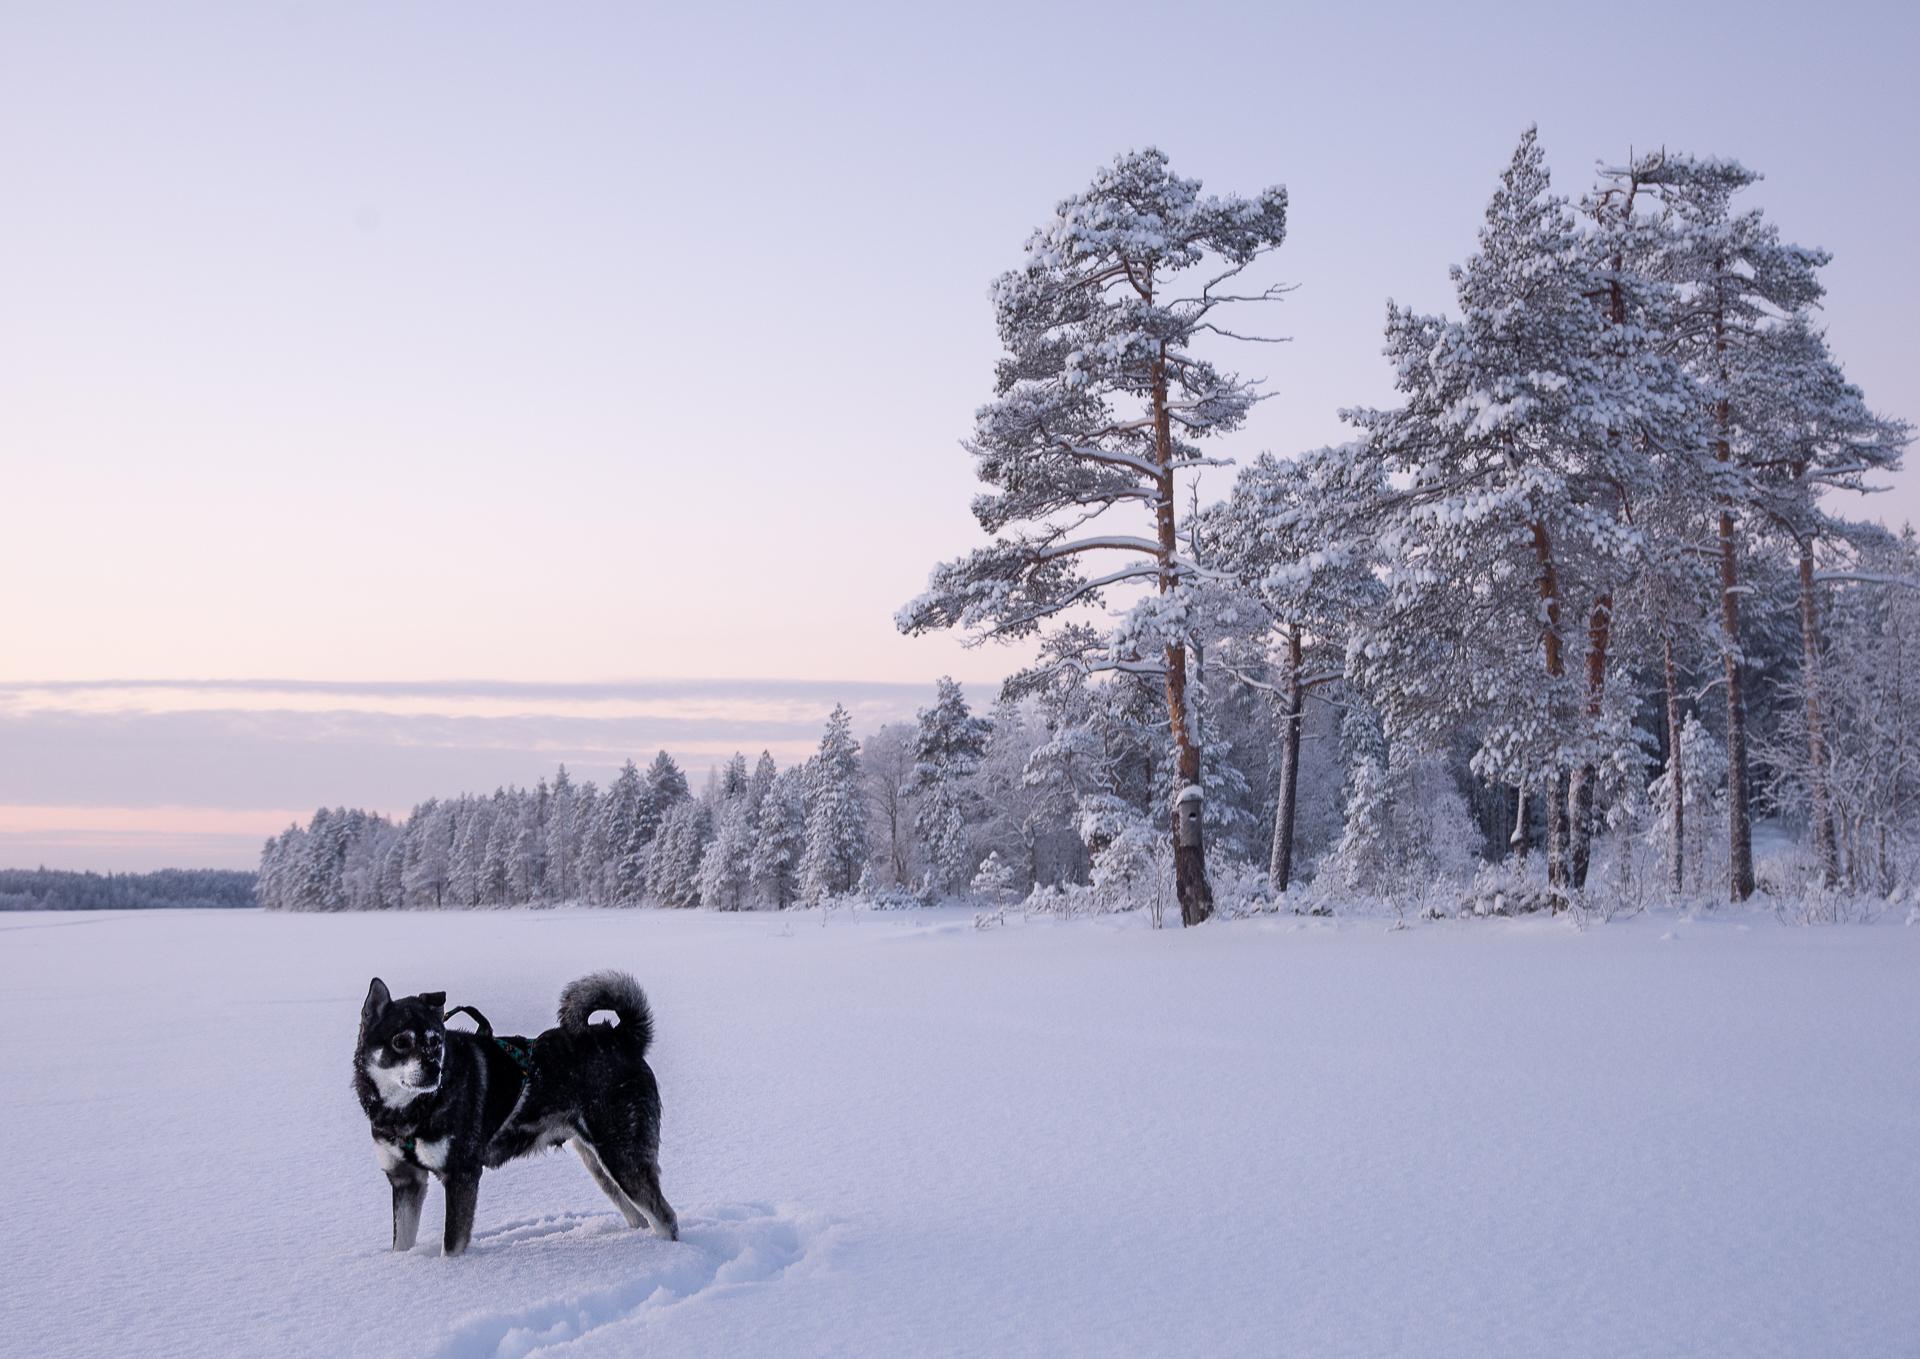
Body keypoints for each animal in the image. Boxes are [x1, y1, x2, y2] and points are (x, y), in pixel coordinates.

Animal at [357, 971, 679, 1259]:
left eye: (436, 1041)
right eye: (401, 1041)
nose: (433, 1069)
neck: (409, 1111)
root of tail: (621, 1036)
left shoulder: (461, 1174)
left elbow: (451, 1246)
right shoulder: (405, 1179)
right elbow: (401, 1243)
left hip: (622, 1155)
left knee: (665, 1217)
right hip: (599, 1163)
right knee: (638, 1215)